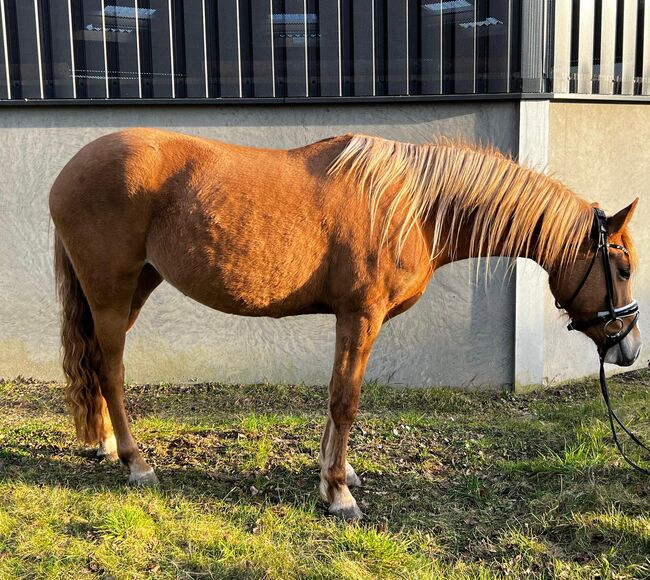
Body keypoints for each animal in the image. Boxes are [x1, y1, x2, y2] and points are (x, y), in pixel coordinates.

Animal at [49, 131, 636, 520]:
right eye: (624, 268)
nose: (627, 350)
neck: (410, 205)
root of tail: (68, 170)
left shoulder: (348, 319)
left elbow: (336, 396)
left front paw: (335, 473)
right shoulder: (361, 315)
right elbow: (346, 399)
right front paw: (338, 493)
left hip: (137, 286)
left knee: (97, 366)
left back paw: (104, 443)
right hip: (112, 291)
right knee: (111, 370)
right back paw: (136, 462)